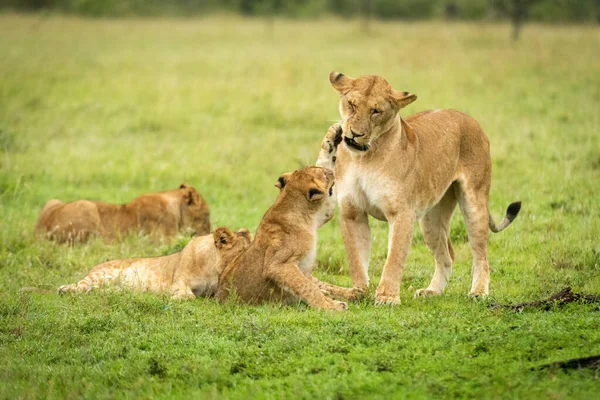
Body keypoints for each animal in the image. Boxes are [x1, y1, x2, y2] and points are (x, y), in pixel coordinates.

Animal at [34, 184, 211, 242]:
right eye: (207, 214)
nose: (209, 230)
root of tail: (39, 233)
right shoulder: (161, 238)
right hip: (87, 206)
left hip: (52, 201)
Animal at [58, 227, 251, 298]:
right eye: (242, 252)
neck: (212, 270)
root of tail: (94, 267)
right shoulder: (178, 282)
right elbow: (187, 295)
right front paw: (173, 298)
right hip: (100, 275)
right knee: (81, 285)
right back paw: (65, 289)